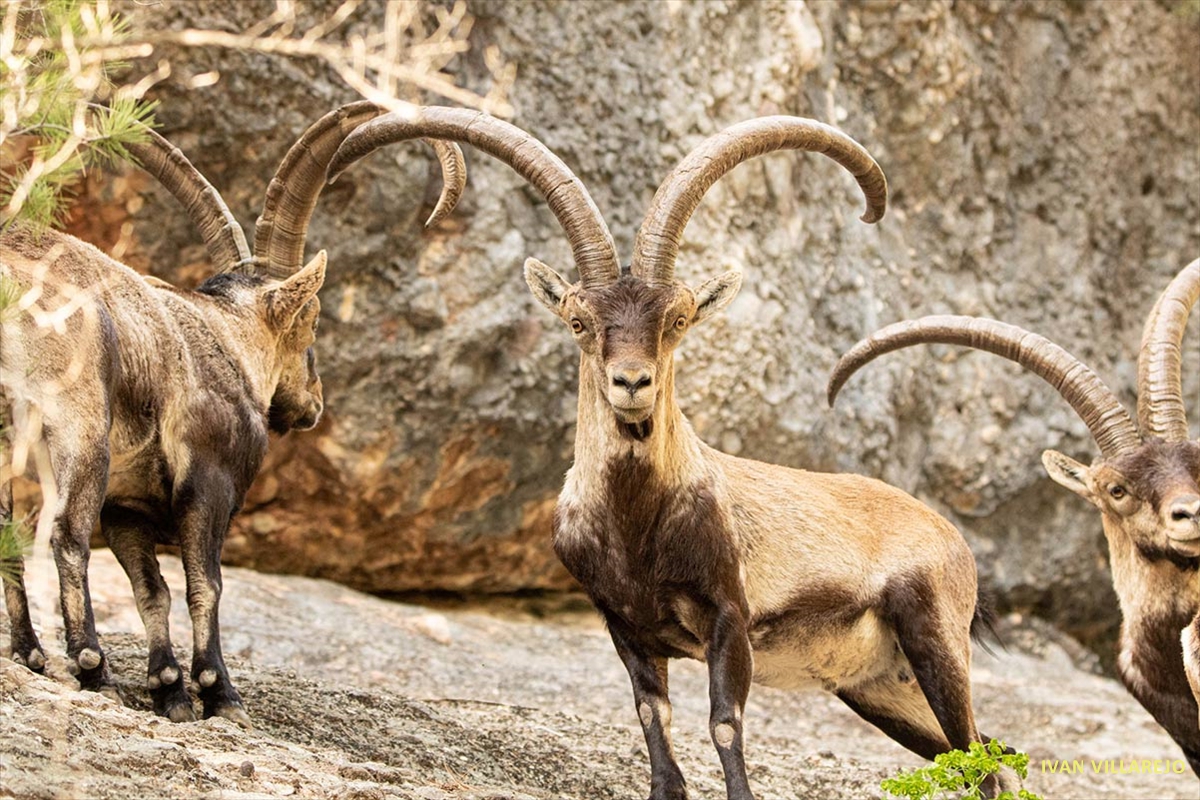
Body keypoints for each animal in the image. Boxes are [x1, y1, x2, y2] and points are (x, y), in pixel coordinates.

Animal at [0, 102, 464, 725]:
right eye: (311, 318)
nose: (313, 402)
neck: (225, 339)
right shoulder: (208, 482)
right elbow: (206, 583)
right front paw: (219, 691)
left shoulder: (128, 506)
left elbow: (152, 589)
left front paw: (170, 690)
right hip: (80, 425)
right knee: (68, 536)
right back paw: (93, 666)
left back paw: (30, 653)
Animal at [326, 109, 1017, 800]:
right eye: (579, 321)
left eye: (677, 320)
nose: (632, 383)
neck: (636, 523)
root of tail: (952, 537)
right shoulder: (627, 628)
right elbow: (650, 716)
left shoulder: (727, 618)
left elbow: (724, 722)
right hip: (881, 688)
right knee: (988, 753)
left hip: (933, 639)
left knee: (980, 758)